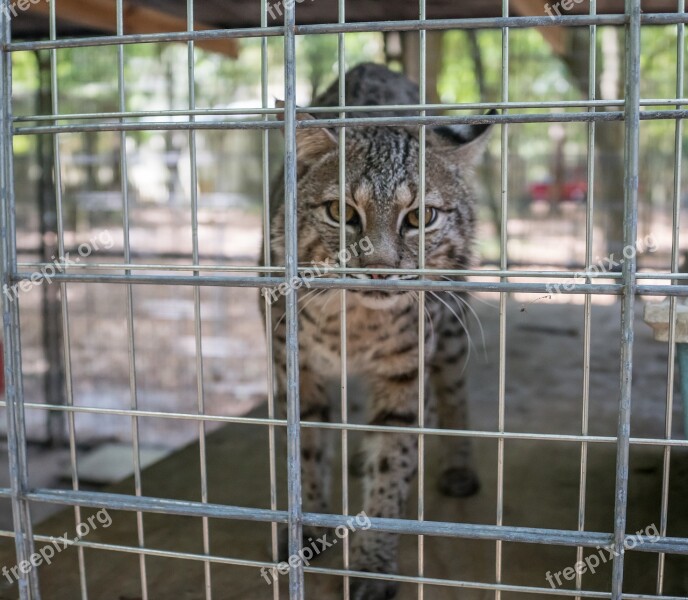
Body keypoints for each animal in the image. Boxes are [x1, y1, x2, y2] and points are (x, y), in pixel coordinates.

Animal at [264, 63, 494, 596]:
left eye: (421, 217)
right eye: (342, 213)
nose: (380, 270)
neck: (355, 319)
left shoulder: (406, 371)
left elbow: (394, 459)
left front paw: (372, 563)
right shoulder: (293, 364)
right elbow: (304, 451)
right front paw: (305, 529)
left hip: (451, 322)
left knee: (452, 389)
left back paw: (459, 464)